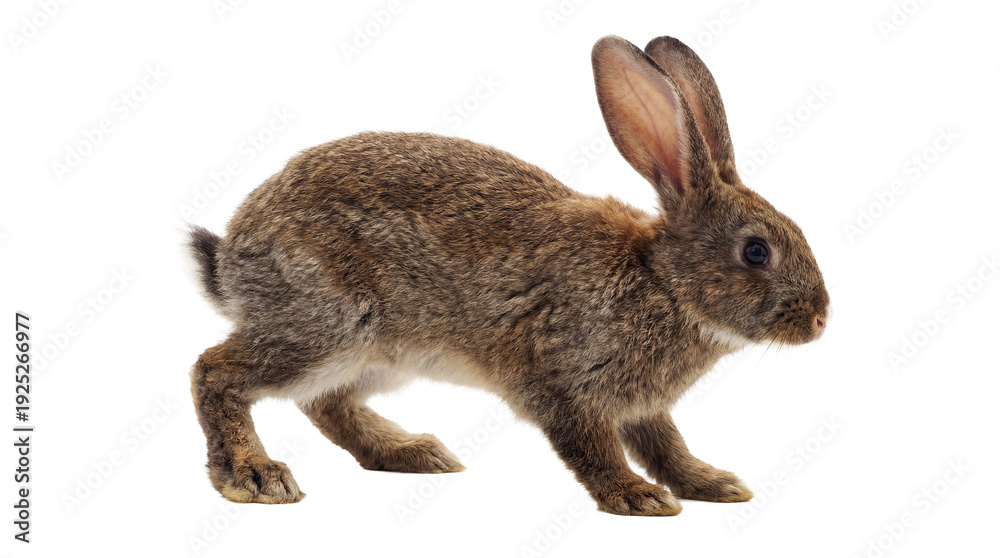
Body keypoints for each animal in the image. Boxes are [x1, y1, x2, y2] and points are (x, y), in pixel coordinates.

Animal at [188, 34, 829, 516]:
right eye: (755, 252)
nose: (820, 320)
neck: (663, 282)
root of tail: (235, 252)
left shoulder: (642, 407)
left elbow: (667, 445)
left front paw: (711, 483)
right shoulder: (562, 382)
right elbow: (594, 449)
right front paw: (637, 497)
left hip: (376, 355)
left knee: (325, 404)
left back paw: (413, 452)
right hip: (328, 326)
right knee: (215, 372)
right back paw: (255, 476)